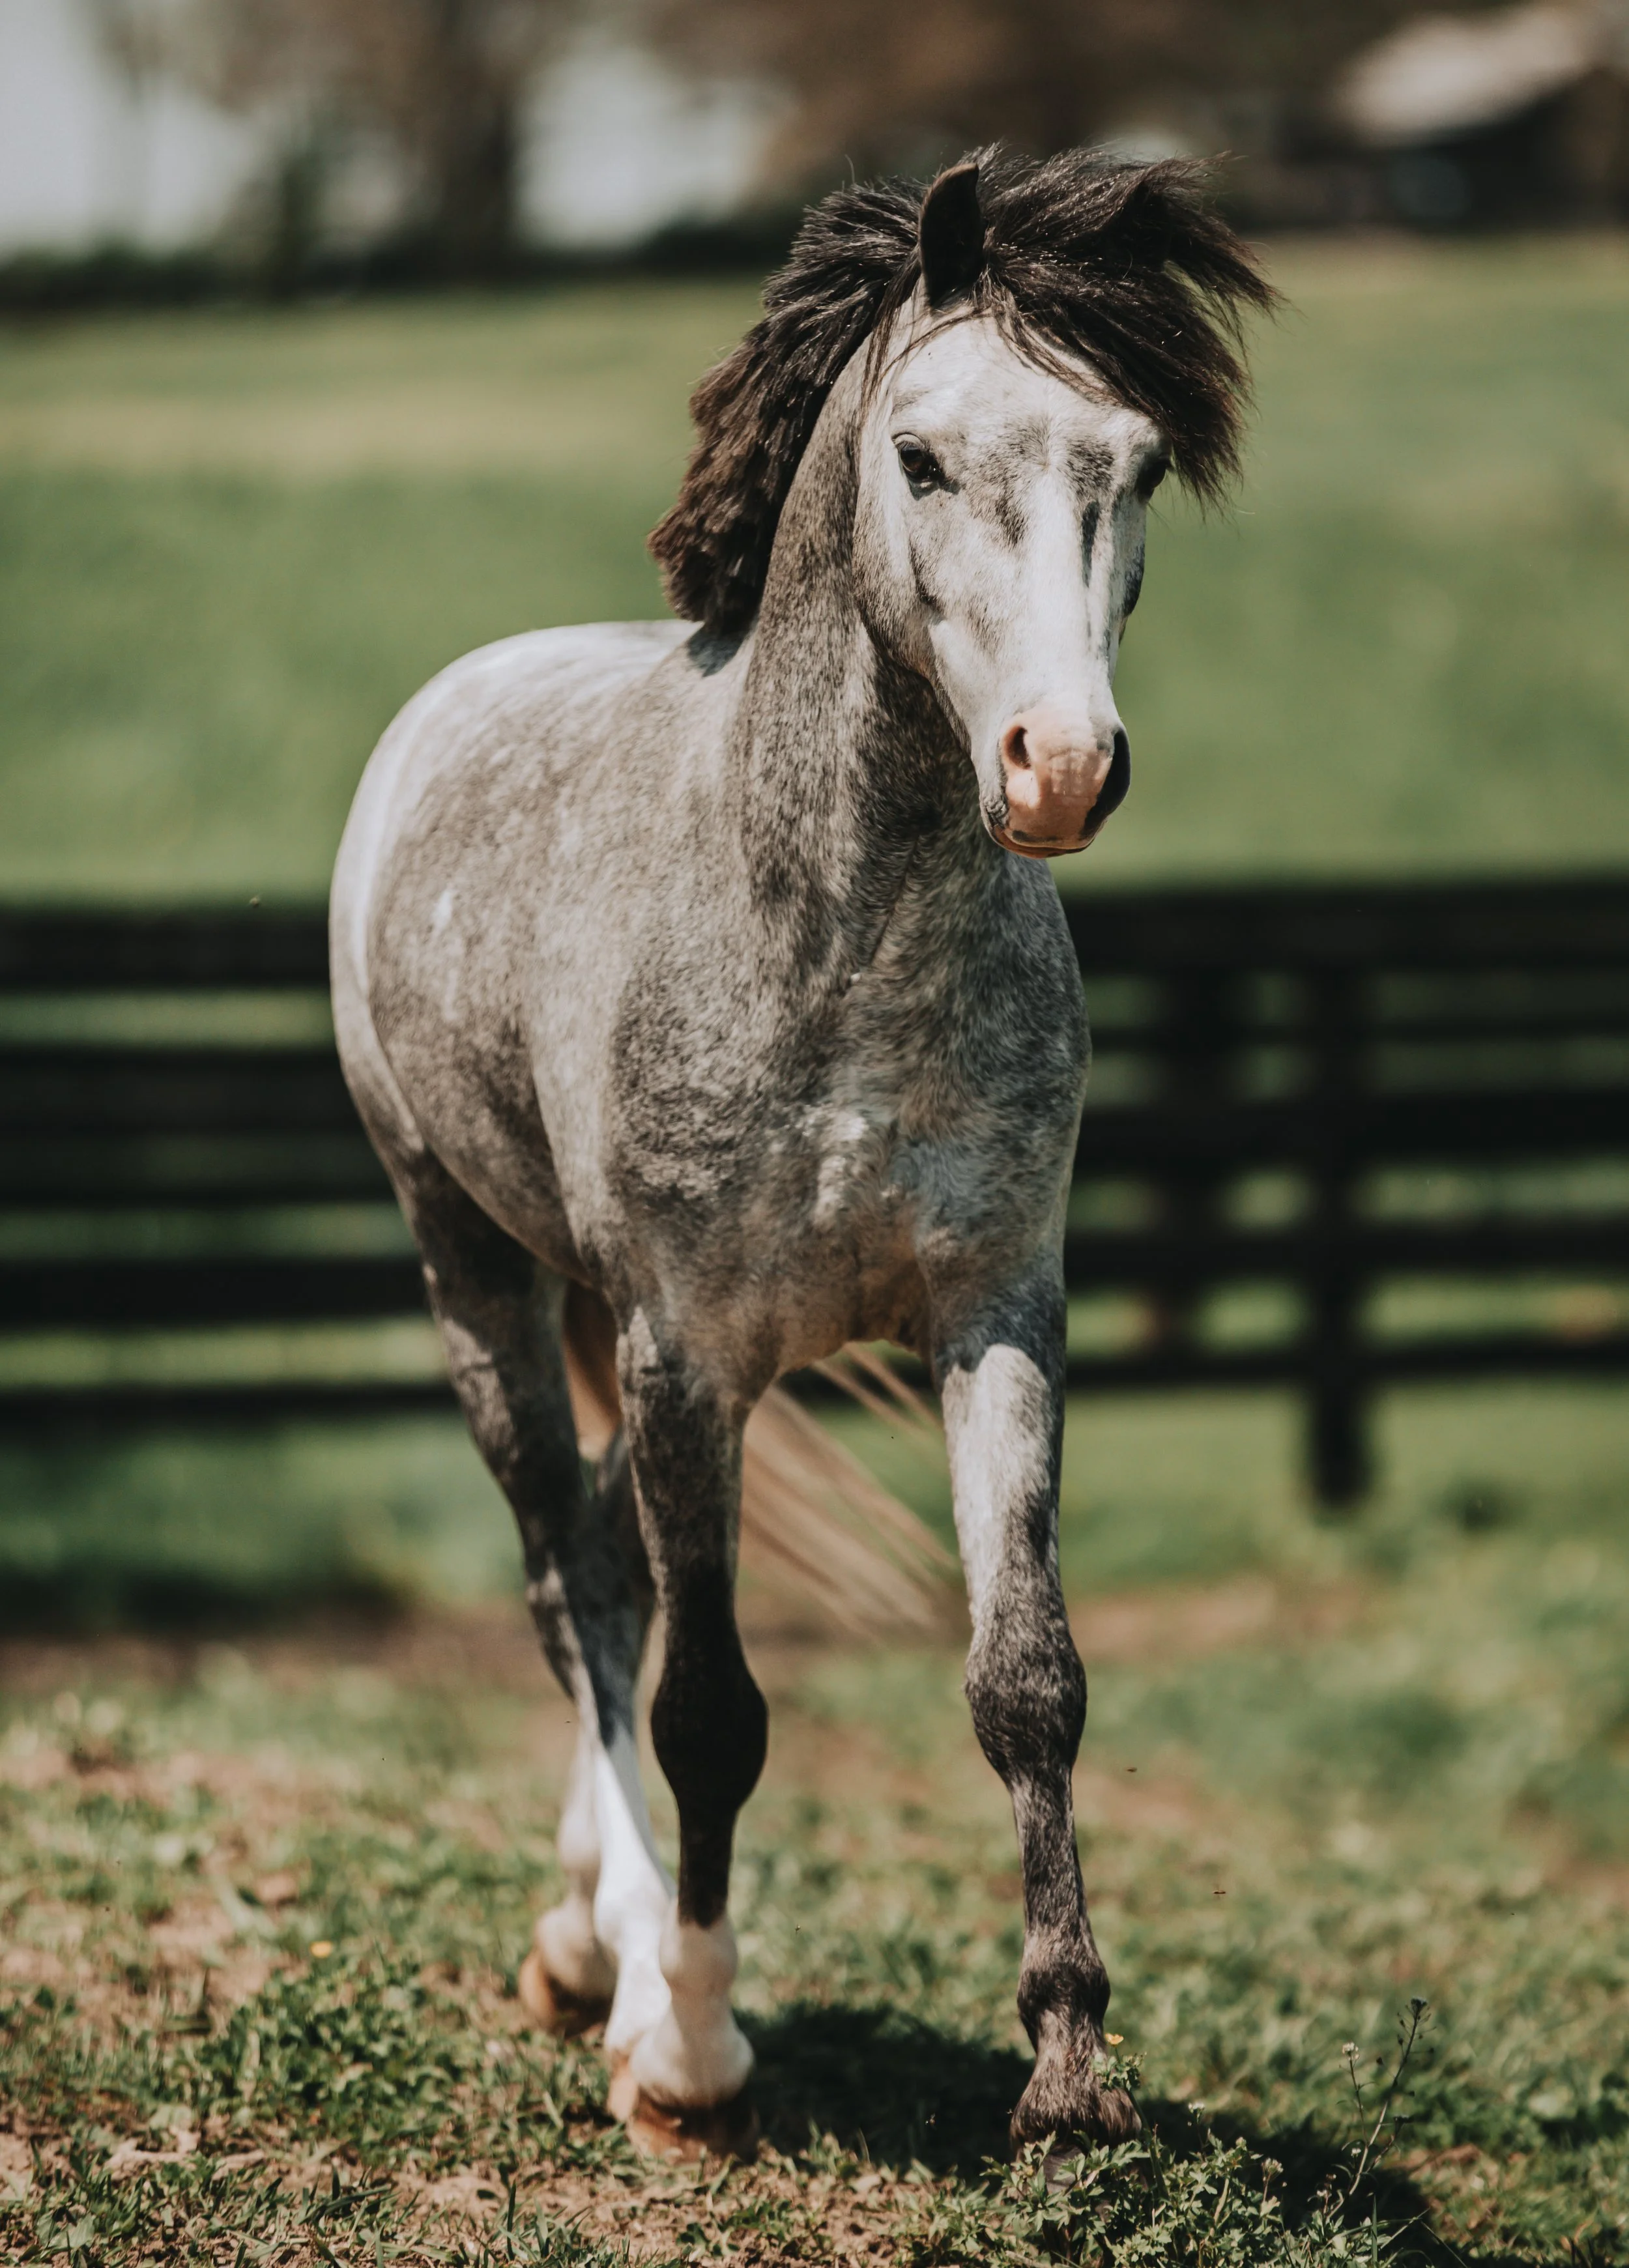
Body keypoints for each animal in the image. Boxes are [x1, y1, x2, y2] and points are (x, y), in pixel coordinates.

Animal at [330, 147, 1270, 2161]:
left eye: (1140, 462)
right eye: (919, 457)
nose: (1059, 767)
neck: (827, 934)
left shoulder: (995, 1313)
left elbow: (1027, 1678)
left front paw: (1069, 2069)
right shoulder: (693, 1354)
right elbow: (710, 1712)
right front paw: (689, 2048)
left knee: (605, 1576)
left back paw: (583, 1932)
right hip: (481, 1273)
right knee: (574, 1584)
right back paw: (607, 1954)